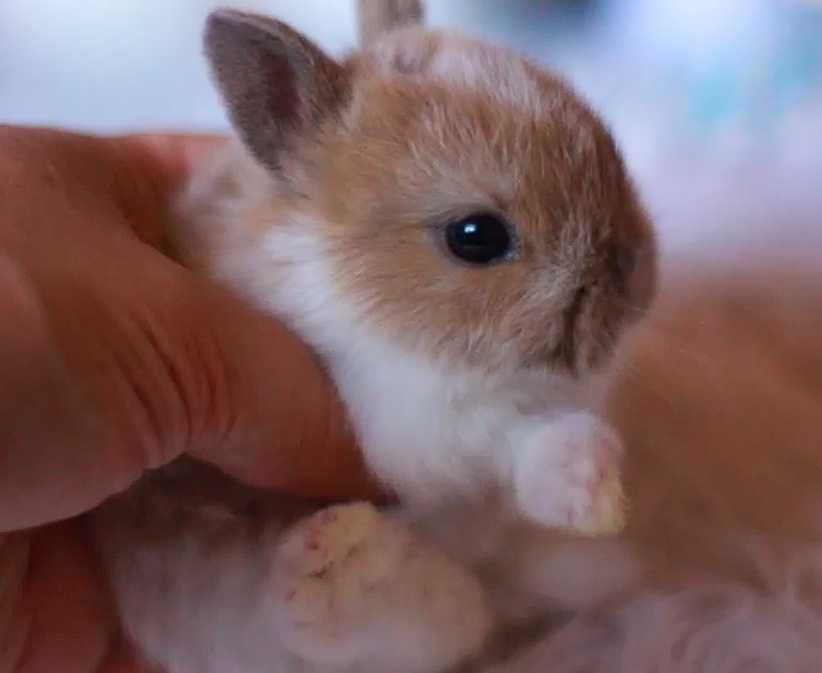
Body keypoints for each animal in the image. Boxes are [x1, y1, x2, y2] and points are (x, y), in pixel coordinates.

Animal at [90, 2, 657, 672]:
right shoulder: (401, 419)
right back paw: (332, 570)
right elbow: (502, 433)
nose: (634, 276)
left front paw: (595, 492)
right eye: (476, 236)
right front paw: (592, 484)